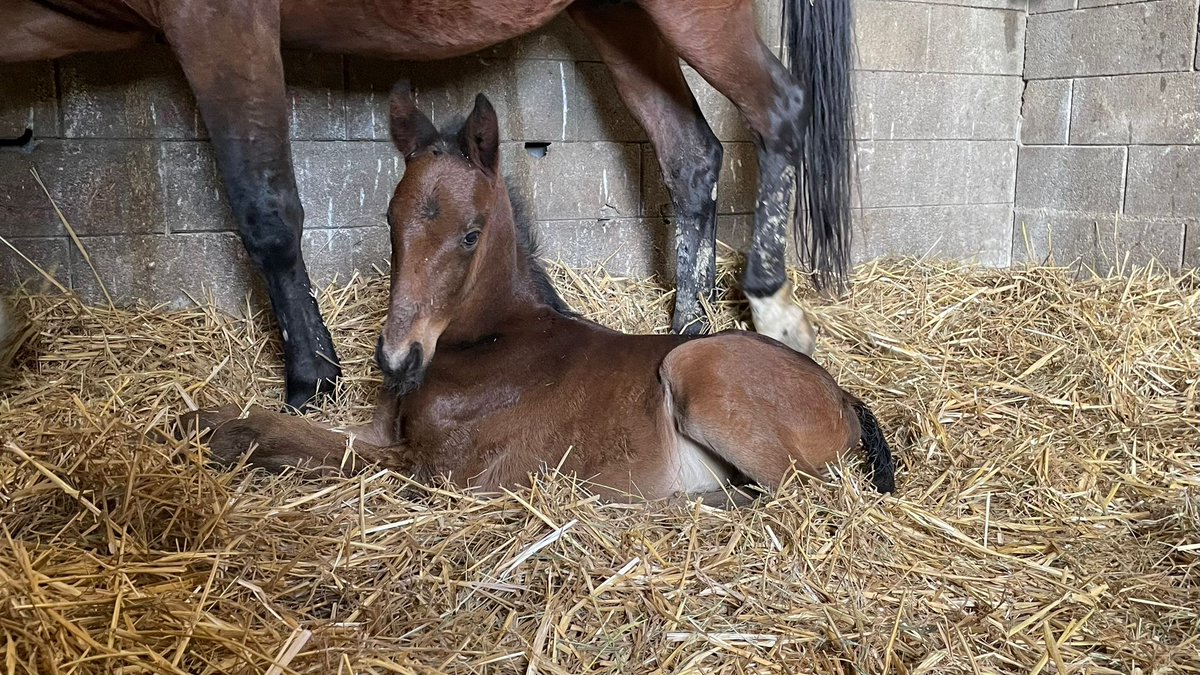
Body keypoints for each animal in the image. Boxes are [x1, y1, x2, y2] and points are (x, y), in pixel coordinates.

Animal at [4, 0, 859, 403]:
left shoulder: (219, 21)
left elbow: (266, 210)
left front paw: (311, 376)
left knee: (779, 111)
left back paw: (772, 304)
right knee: (691, 153)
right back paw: (689, 325)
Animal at [180, 86, 892, 499]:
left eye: (471, 235)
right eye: (388, 219)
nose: (395, 358)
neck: (493, 344)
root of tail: (843, 396)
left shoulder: (428, 470)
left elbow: (298, 447)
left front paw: (217, 436)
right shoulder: (384, 430)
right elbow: (286, 426)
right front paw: (199, 419)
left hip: (698, 369)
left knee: (789, 498)